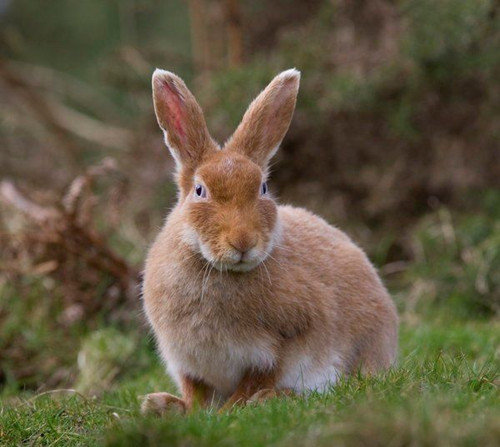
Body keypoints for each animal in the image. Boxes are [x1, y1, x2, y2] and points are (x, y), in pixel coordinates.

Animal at [141, 69, 398, 416]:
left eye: (263, 188)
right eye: (199, 190)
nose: (243, 242)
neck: (218, 270)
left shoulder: (283, 345)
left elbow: (256, 380)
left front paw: (229, 411)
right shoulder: (186, 361)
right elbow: (195, 392)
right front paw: (187, 411)